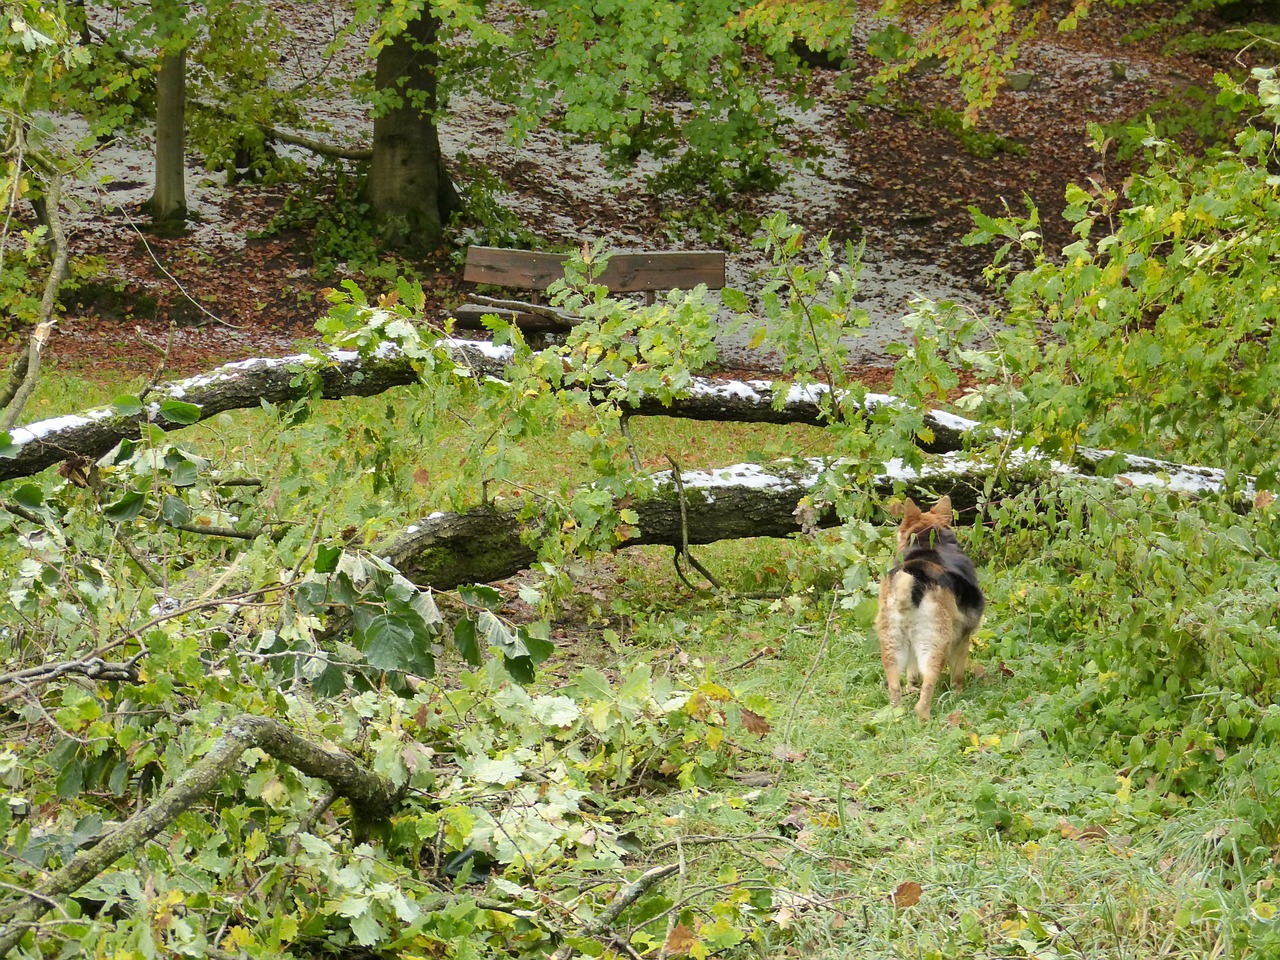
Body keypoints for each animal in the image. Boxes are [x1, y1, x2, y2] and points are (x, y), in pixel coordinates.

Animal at [875, 499, 983, 716]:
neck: (927, 539)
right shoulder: (962, 638)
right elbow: (957, 673)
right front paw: (958, 693)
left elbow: (911, 673)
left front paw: (911, 687)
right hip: (935, 645)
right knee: (928, 687)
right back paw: (924, 715)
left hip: (893, 648)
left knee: (895, 688)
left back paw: (896, 714)